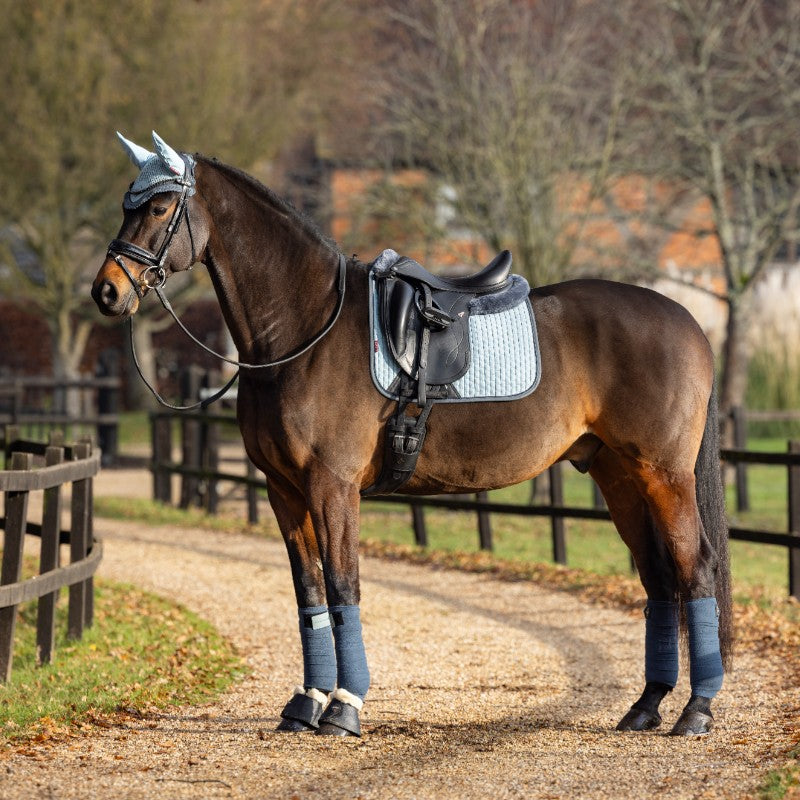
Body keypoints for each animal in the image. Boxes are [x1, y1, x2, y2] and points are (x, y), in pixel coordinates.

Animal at [92, 131, 732, 736]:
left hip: (664, 476)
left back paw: (696, 711)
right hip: (618, 475)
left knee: (695, 567)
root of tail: (688, 322)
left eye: (159, 207)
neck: (305, 329)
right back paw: (646, 706)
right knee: (659, 577)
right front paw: (307, 703)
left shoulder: (332, 487)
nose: (106, 291)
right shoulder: (284, 492)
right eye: (127, 204)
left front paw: (344, 707)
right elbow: (310, 593)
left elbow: (344, 586)